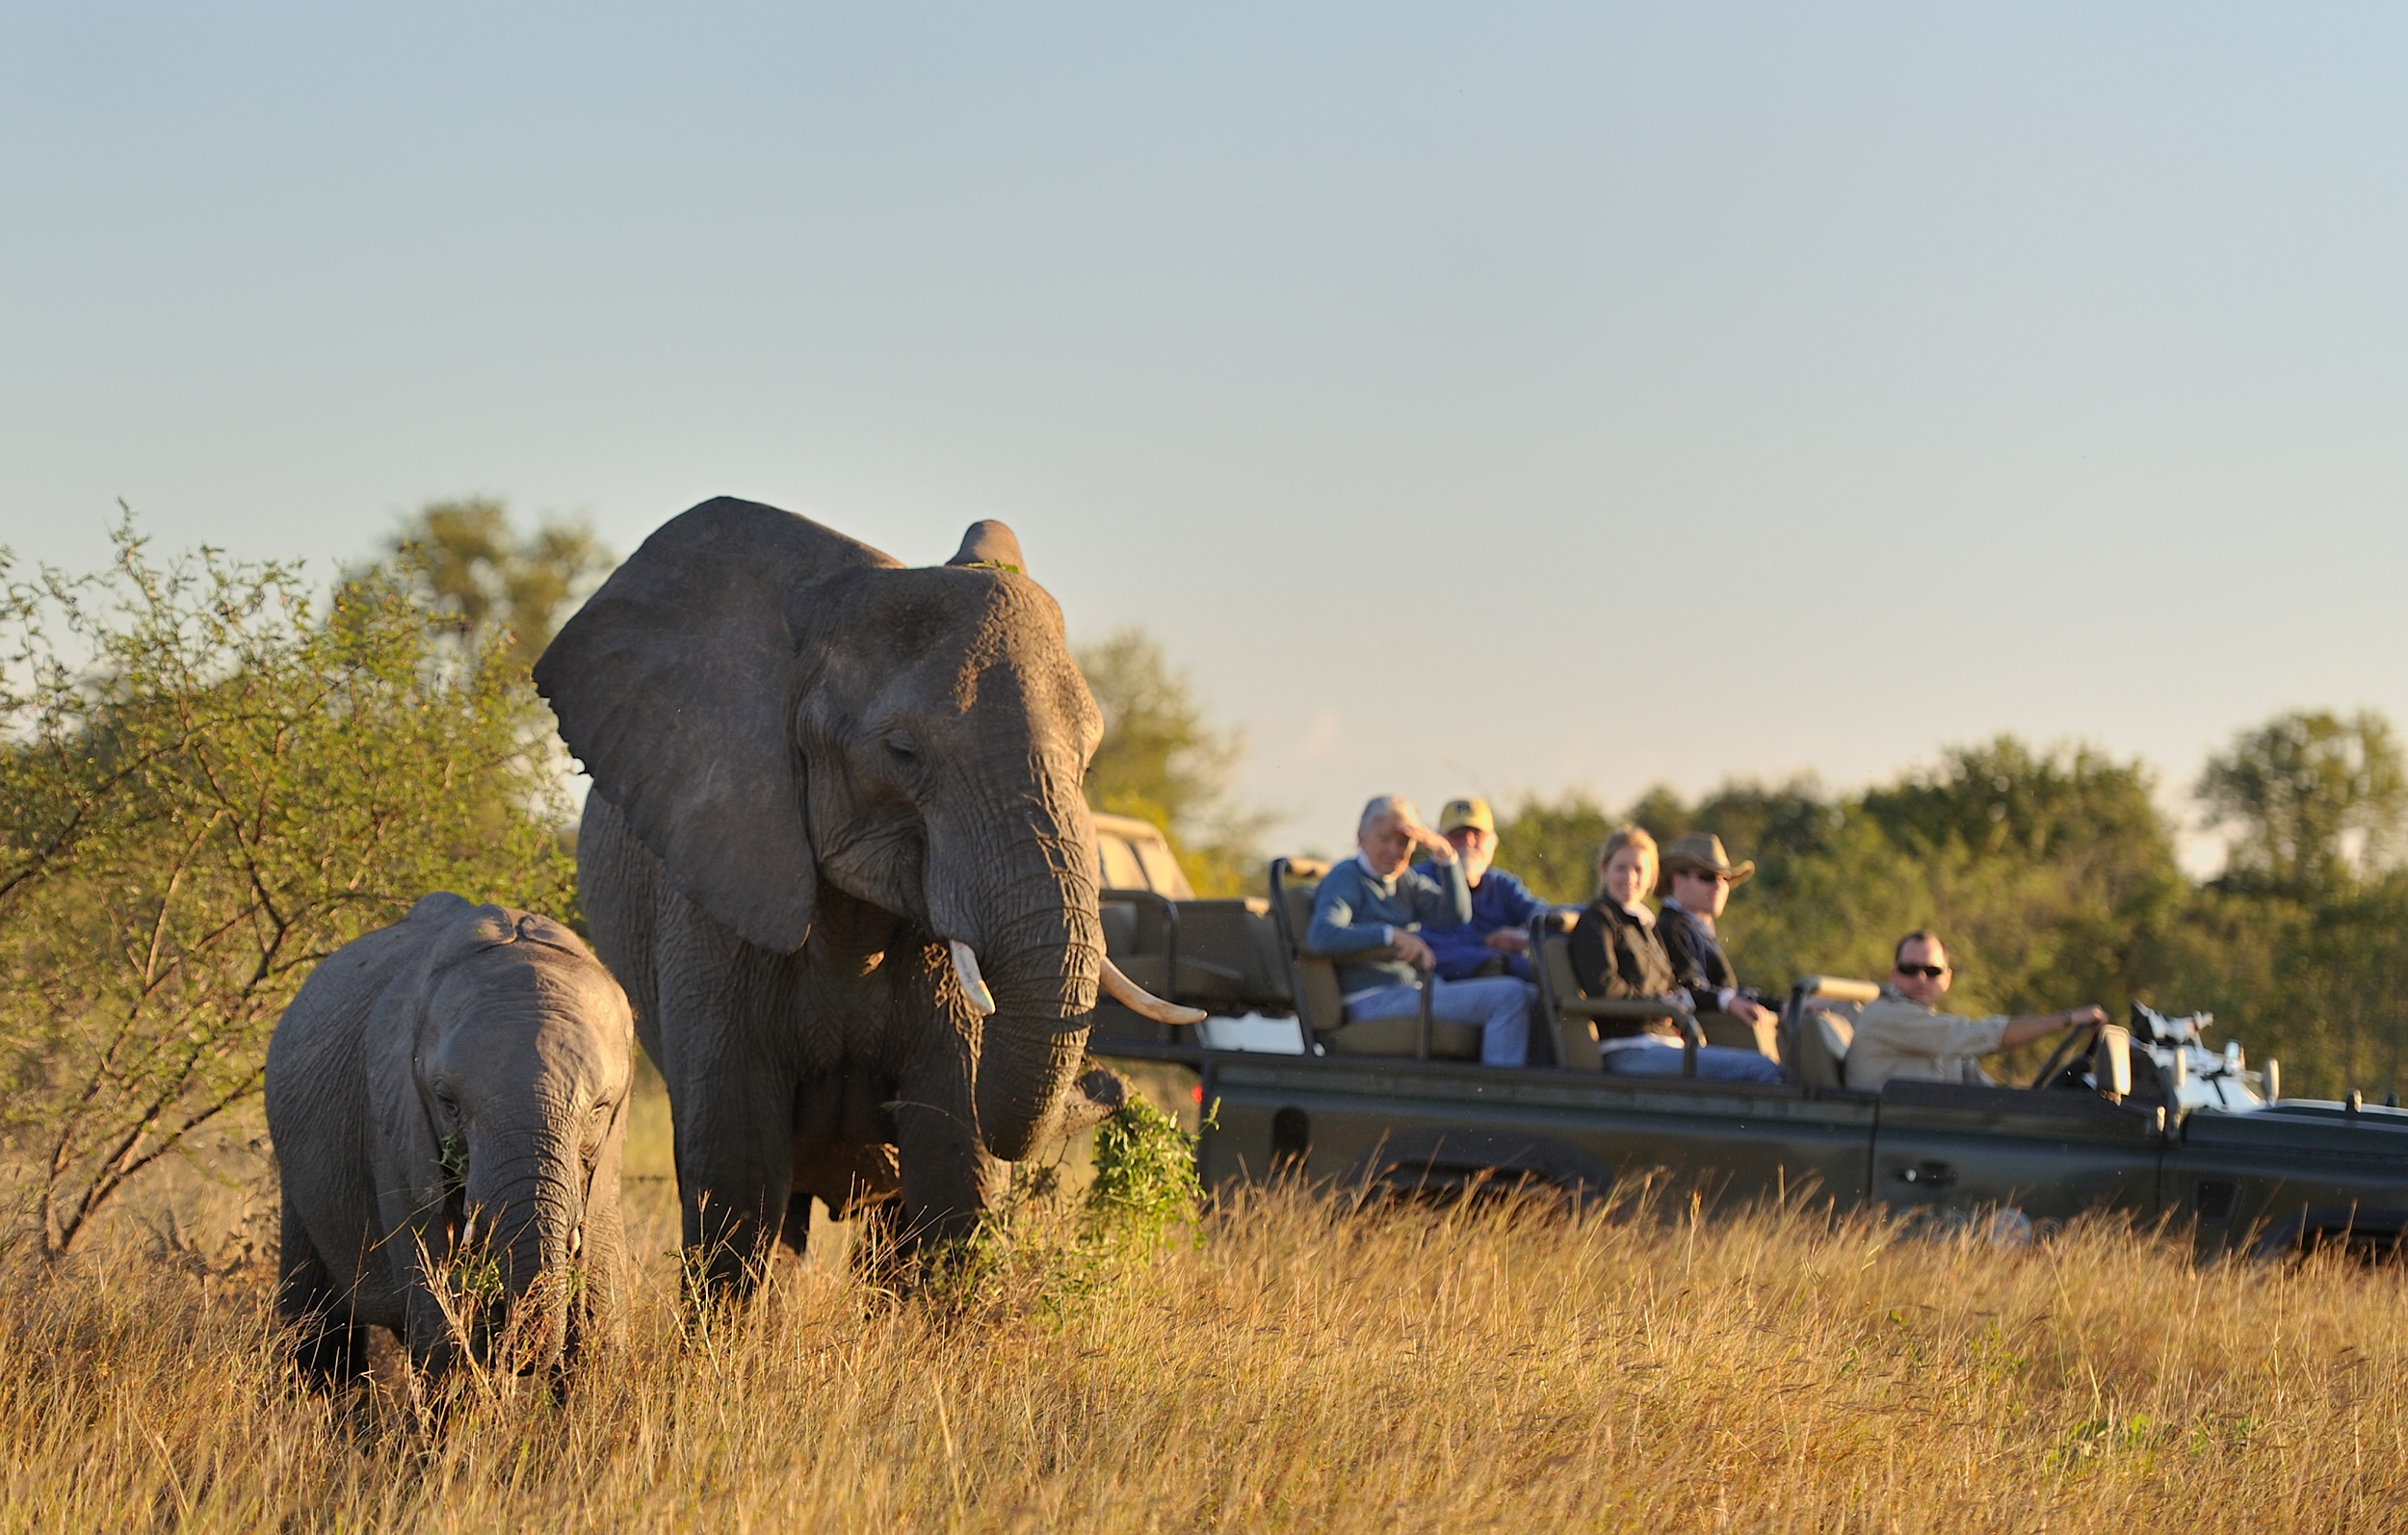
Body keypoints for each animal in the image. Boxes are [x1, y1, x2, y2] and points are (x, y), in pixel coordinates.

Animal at [264, 893, 636, 1385]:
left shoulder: (605, 1165)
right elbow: (438, 1319)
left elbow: (598, 1325)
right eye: (447, 1103)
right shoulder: (393, 1123)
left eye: (598, 1109)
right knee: (318, 1343)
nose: (520, 1360)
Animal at [533, 497, 1195, 1293]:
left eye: (1088, 764)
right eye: (902, 752)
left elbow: (957, 1165)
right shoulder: (719, 883)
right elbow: (735, 1164)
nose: (1111, 1085)